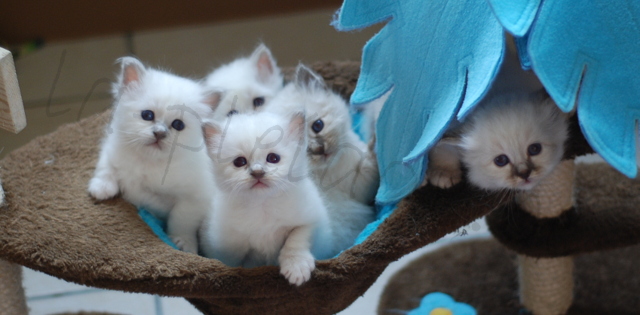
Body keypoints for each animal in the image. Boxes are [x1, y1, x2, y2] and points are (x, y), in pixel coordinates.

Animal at [87, 56, 219, 254]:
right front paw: (101, 189)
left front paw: (182, 243)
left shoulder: (195, 198)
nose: (159, 133)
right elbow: (106, 167)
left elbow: (181, 220)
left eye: (178, 125)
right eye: (147, 115)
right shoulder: (111, 148)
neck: (149, 161)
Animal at [200, 110, 332, 286]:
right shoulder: (230, 244)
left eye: (273, 158)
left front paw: (296, 267)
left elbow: (296, 239)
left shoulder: (311, 220)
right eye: (239, 161)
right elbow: (238, 263)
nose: (257, 172)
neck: (262, 203)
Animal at [424, 90, 568, 191]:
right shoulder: (445, 121)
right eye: (500, 160)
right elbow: (440, 146)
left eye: (534, 149)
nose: (524, 174)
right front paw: (443, 173)